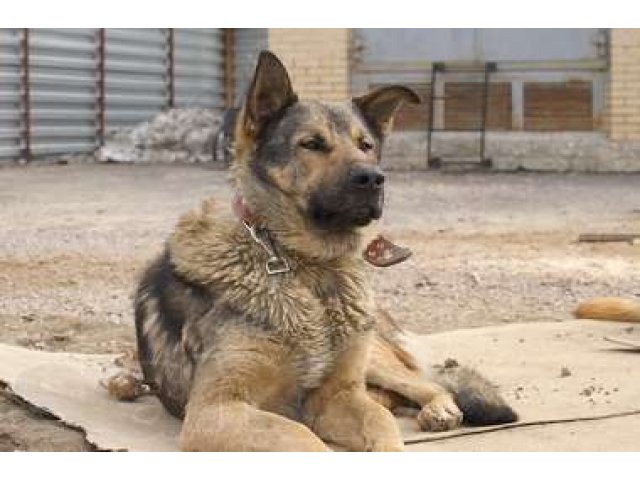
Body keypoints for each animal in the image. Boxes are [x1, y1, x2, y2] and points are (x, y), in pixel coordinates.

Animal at [132, 50, 516, 452]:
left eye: (366, 145)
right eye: (312, 144)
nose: (373, 178)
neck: (308, 265)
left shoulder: (337, 396)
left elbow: (381, 425)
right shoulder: (215, 410)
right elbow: (305, 437)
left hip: (373, 357)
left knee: (426, 385)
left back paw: (439, 408)